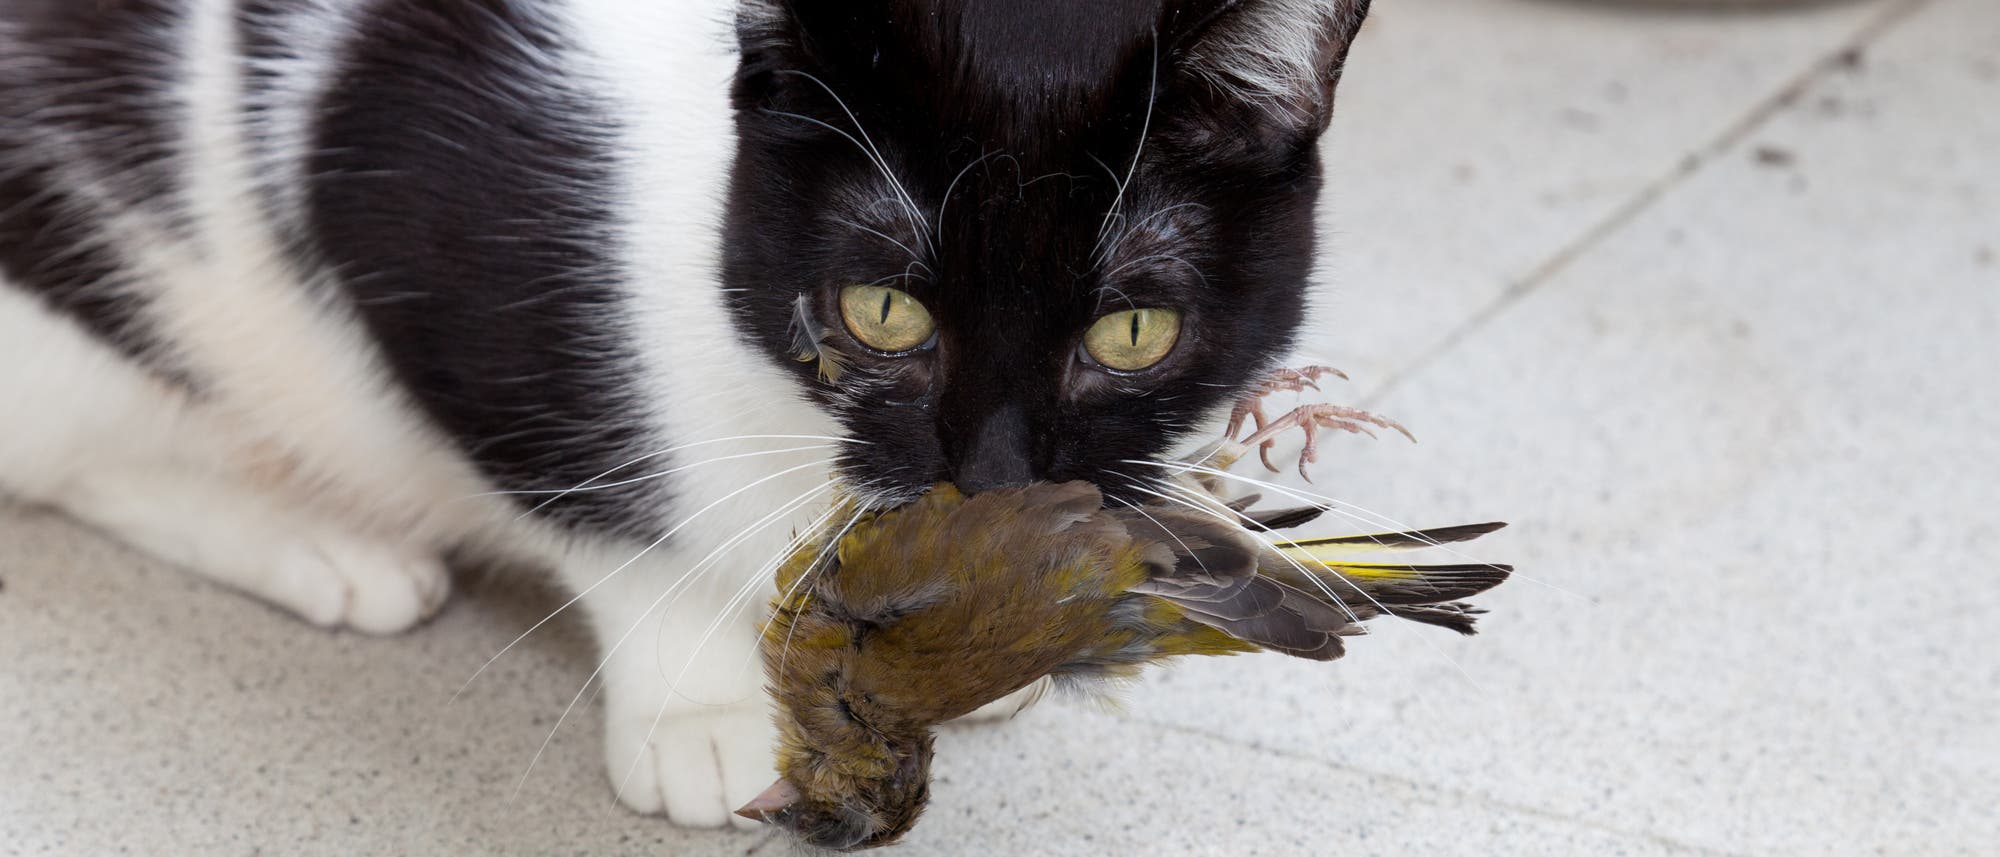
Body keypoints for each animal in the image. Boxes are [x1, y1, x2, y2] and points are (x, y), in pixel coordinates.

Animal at [0, 0, 1368, 828]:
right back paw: (322, 540)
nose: (995, 478)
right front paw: (700, 703)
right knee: (76, 453)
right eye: (880, 310)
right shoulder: (395, 194)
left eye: (1131, 334)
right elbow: (591, 485)